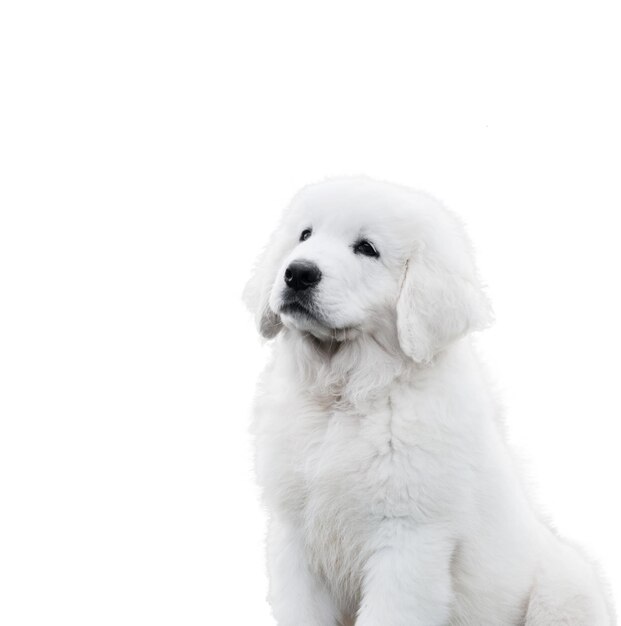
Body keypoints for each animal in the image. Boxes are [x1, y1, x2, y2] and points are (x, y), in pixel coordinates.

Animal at [241, 177, 612, 624]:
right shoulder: (294, 537)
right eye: (304, 235)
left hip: (562, 593)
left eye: (366, 248)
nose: (298, 272)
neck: (344, 398)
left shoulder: (407, 539)